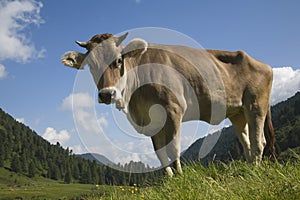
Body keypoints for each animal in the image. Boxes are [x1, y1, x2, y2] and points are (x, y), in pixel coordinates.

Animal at [62, 32, 276, 177]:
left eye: (119, 60)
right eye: (91, 65)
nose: (107, 94)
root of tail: (262, 63)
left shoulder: (173, 109)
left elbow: (173, 149)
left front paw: (180, 177)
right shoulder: (152, 121)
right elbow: (160, 153)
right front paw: (169, 179)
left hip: (256, 104)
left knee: (259, 142)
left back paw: (255, 170)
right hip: (238, 112)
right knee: (246, 143)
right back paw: (249, 169)